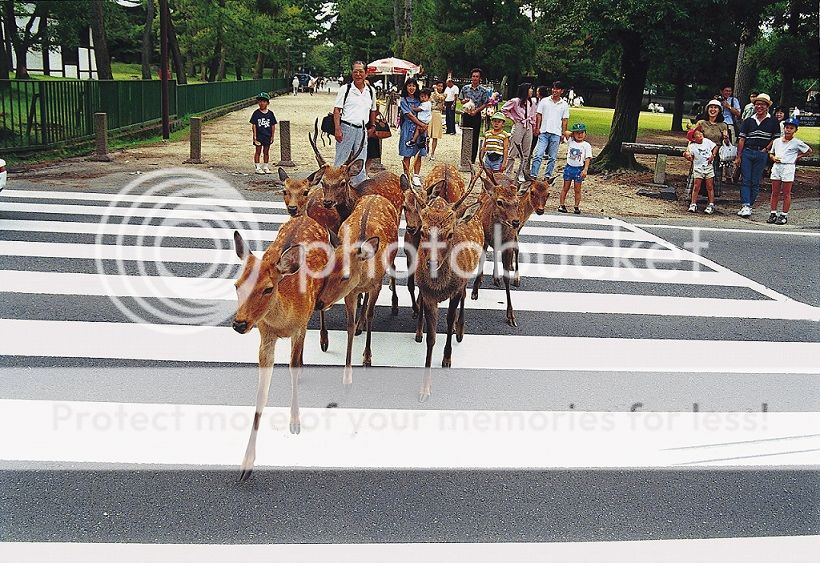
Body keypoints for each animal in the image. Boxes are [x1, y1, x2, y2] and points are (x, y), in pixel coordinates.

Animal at [229, 216, 332, 484]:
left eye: (267, 288)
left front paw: (295, 422)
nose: (239, 324)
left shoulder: (300, 327)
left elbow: (293, 368)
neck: (282, 323)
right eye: (236, 285)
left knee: (322, 307)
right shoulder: (265, 336)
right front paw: (246, 464)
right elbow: (261, 393)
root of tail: (306, 216)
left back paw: (323, 339)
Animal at [314, 195, 400, 388]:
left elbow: (371, 315)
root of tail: (376, 195)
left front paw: (367, 358)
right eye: (326, 269)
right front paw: (347, 374)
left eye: (345, 276)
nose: (319, 303)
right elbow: (349, 325)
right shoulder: (351, 293)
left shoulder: (377, 285)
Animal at [408, 175, 484, 400]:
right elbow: (431, 338)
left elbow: (449, 322)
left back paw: (461, 329)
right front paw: (425, 389)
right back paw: (418, 331)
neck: (440, 288)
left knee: (465, 296)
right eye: (424, 231)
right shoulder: (429, 295)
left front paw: (447, 359)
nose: (431, 263)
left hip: (467, 276)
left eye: (450, 234)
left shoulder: (455, 290)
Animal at [470, 160, 528, 326]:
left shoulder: (508, 244)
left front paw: (511, 315)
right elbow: (481, 261)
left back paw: (498, 278)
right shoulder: (484, 238)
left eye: (516, 202)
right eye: (500, 201)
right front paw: (474, 292)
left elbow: (507, 274)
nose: (516, 222)